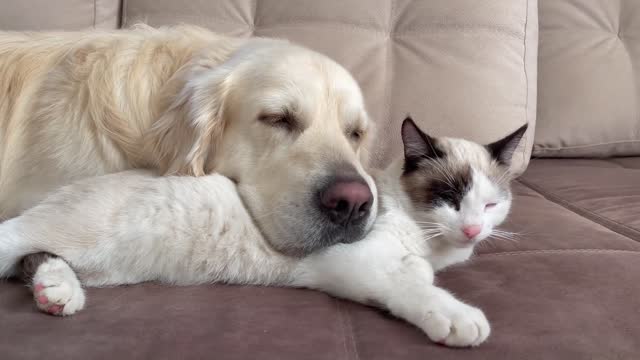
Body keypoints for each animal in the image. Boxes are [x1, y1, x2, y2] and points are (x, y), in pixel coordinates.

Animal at [0, 117, 524, 346]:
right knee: (16, 241)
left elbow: (419, 280)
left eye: (491, 203)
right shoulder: (359, 262)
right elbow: (420, 289)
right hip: (66, 233)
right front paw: (460, 320)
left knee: (39, 260)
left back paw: (58, 295)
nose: (473, 228)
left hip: (104, 265)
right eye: (449, 196)